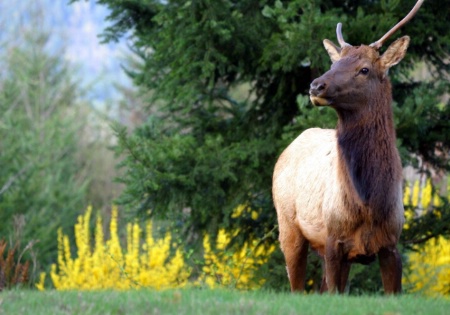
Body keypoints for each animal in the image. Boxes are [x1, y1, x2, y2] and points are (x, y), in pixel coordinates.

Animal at [272, 1, 424, 296]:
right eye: (335, 62)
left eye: (364, 69)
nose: (315, 85)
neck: (367, 202)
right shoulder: (334, 240)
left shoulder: (391, 243)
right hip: (288, 226)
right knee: (296, 286)